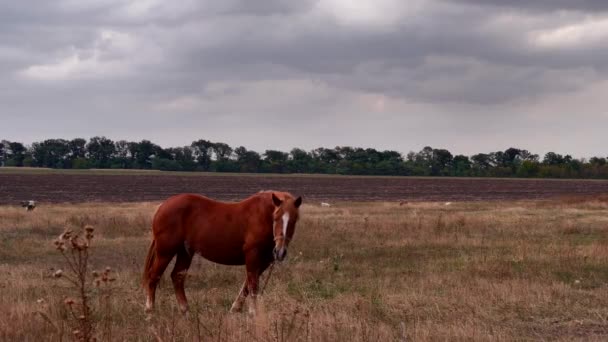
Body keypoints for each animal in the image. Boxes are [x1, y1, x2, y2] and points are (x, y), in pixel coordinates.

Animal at [143, 191, 304, 314]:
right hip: (165, 252)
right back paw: (150, 310)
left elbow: (247, 285)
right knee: (154, 276)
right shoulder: (252, 255)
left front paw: (236, 308)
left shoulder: (264, 261)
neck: (262, 215)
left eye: (294, 220)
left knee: (177, 276)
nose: (280, 251)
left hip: (185, 252)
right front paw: (253, 312)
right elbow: (253, 284)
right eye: (276, 218)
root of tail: (163, 206)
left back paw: (185, 309)